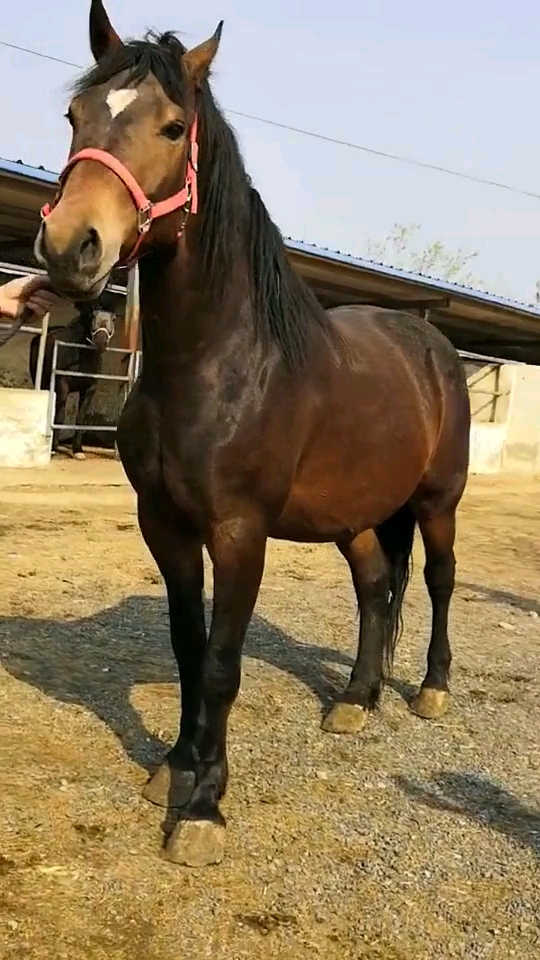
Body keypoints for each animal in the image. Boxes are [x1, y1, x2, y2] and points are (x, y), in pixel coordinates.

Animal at [29, 302, 116, 459]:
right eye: (92, 315)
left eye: (114, 318)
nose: (100, 342)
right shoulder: (63, 386)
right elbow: (60, 417)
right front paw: (53, 449)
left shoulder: (88, 390)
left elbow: (80, 418)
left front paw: (78, 450)